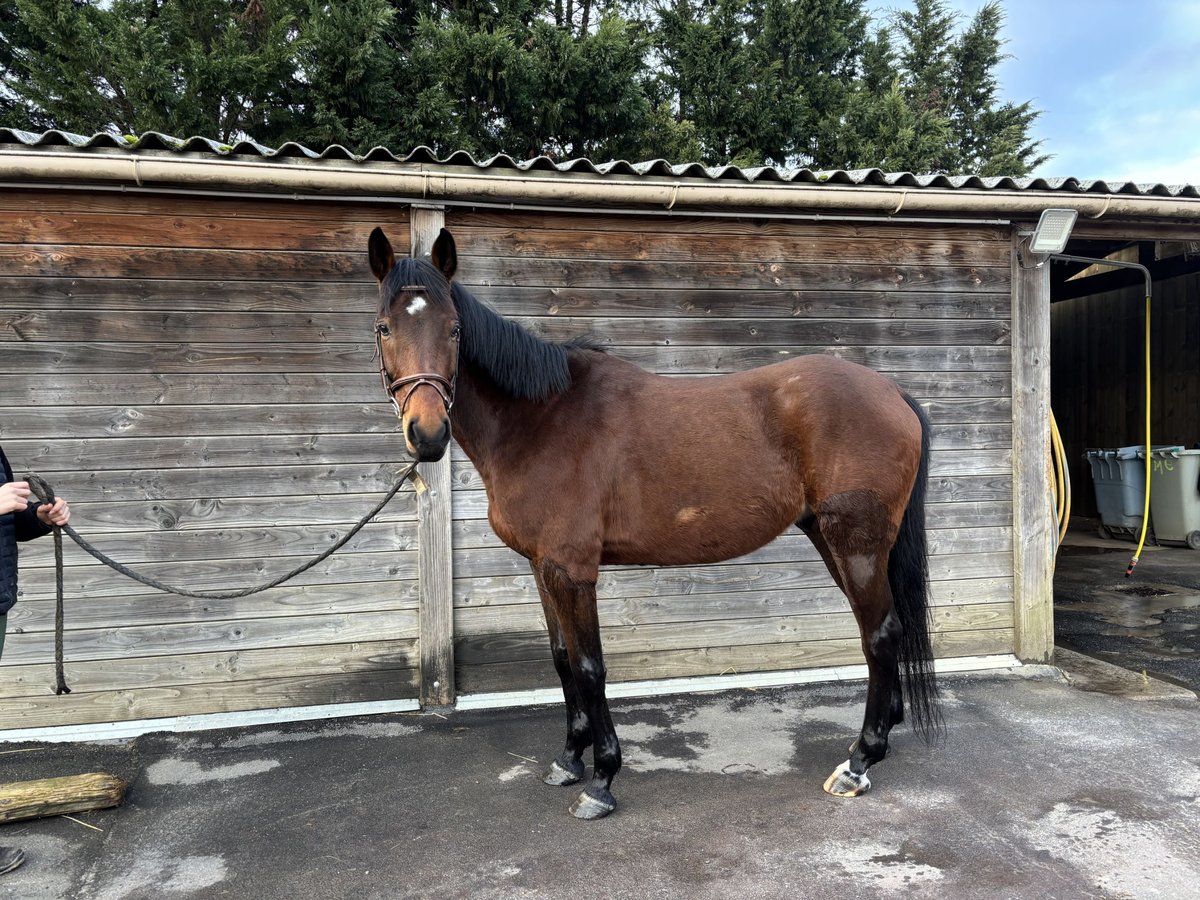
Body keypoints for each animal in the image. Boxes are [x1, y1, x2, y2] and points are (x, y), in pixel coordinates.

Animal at [364, 229, 936, 820]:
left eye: (454, 329)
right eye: (384, 327)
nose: (427, 434)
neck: (542, 418)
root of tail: (892, 393)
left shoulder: (573, 570)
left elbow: (590, 667)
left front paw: (601, 780)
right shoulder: (543, 568)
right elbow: (563, 661)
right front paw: (568, 760)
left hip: (856, 543)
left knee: (880, 635)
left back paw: (859, 762)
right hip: (833, 539)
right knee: (884, 630)